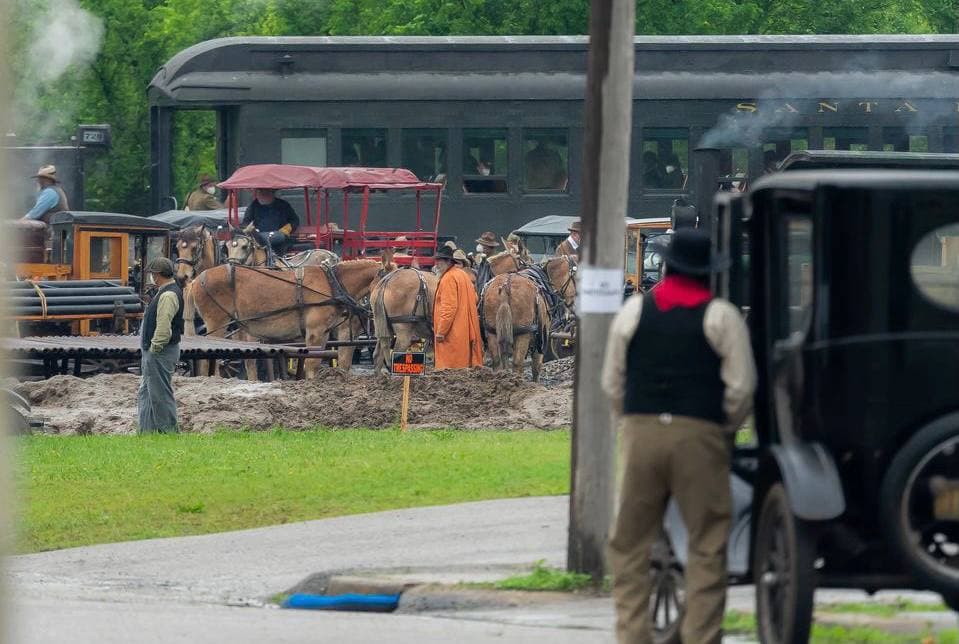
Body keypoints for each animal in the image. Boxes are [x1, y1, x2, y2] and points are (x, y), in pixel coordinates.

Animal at [186, 258, 380, 378]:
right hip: (217, 324)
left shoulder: (324, 333)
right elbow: (312, 362)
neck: (332, 283)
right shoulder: (315, 332)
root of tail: (194, 281)